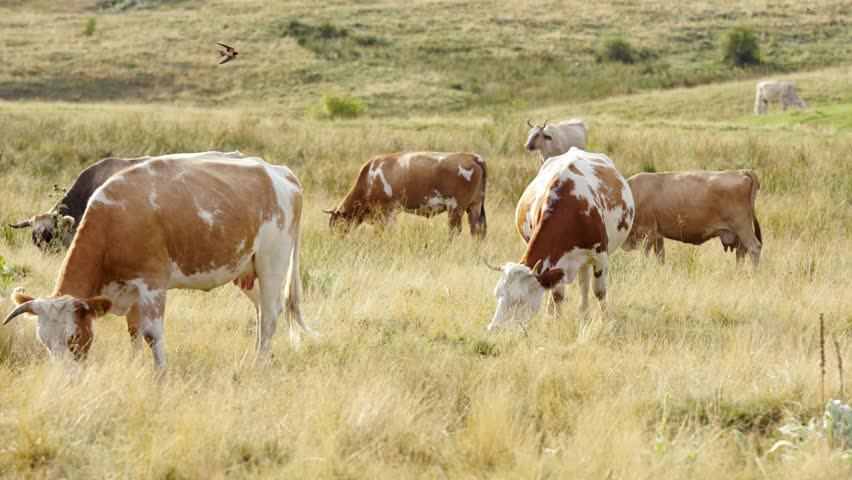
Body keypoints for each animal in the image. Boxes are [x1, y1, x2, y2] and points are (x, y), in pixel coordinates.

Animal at [324, 152, 487, 238]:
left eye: (334, 223)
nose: (335, 238)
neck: (370, 177)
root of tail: (472, 156)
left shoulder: (386, 210)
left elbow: (386, 231)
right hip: (474, 206)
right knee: (477, 231)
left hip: (455, 208)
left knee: (454, 230)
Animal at [484, 148, 634, 331]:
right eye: (497, 294)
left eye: (518, 299)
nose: (493, 328)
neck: (570, 210)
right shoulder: (558, 263)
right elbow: (557, 295)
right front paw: (555, 320)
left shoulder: (600, 256)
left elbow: (599, 292)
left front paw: (604, 319)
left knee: (584, 284)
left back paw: (584, 313)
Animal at [624, 170, 762, 267]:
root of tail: (740, 171)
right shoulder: (657, 235)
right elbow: (660, 257)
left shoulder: (647, 232)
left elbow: (643, 257)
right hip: (739, 233)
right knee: (741, 252)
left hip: (743, 227)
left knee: (754, 248)